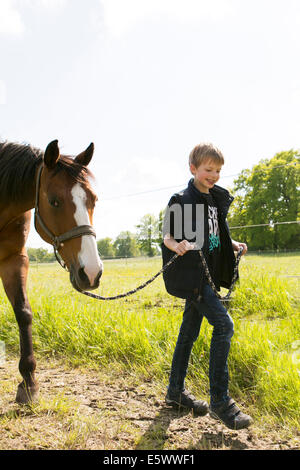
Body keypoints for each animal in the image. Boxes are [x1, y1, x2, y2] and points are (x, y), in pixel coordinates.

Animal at [0, 140, 103, 404]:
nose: (91, 272)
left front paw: (29, 381)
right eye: (55, 201)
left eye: (93, 200)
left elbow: (23, 312)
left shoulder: (14, 259)